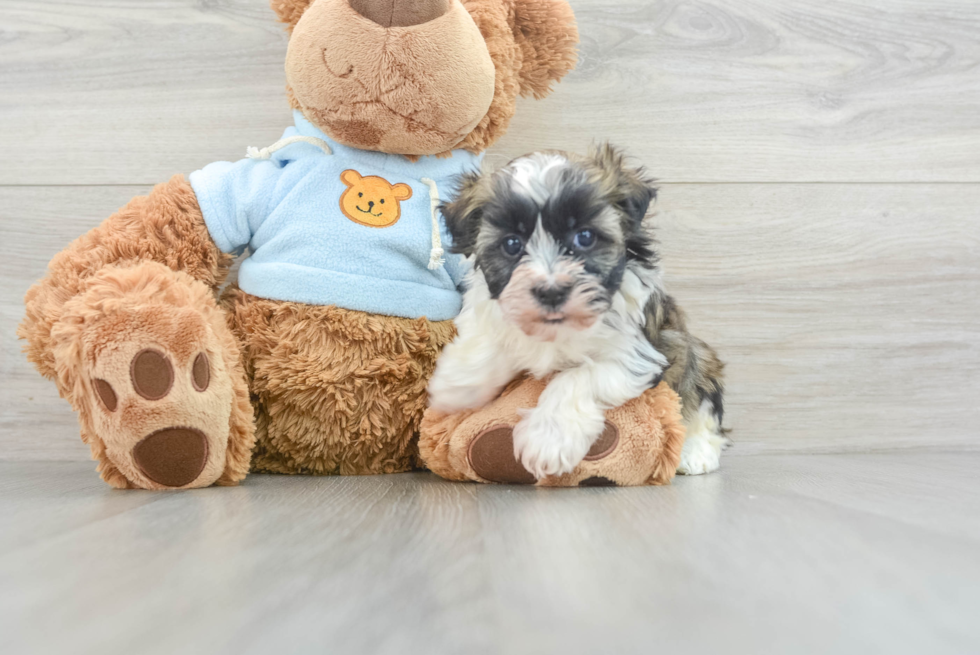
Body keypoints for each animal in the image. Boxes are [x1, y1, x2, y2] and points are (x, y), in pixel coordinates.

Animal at [428, 146, 728, 480]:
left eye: (584, 237)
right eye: (512, 244)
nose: (551, 291)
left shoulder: (641, 352)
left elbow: (576, 376)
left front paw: (548, 439)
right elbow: (494, 342)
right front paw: (457, 385)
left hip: (698, 360)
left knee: (701, 408)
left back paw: (694, 453)